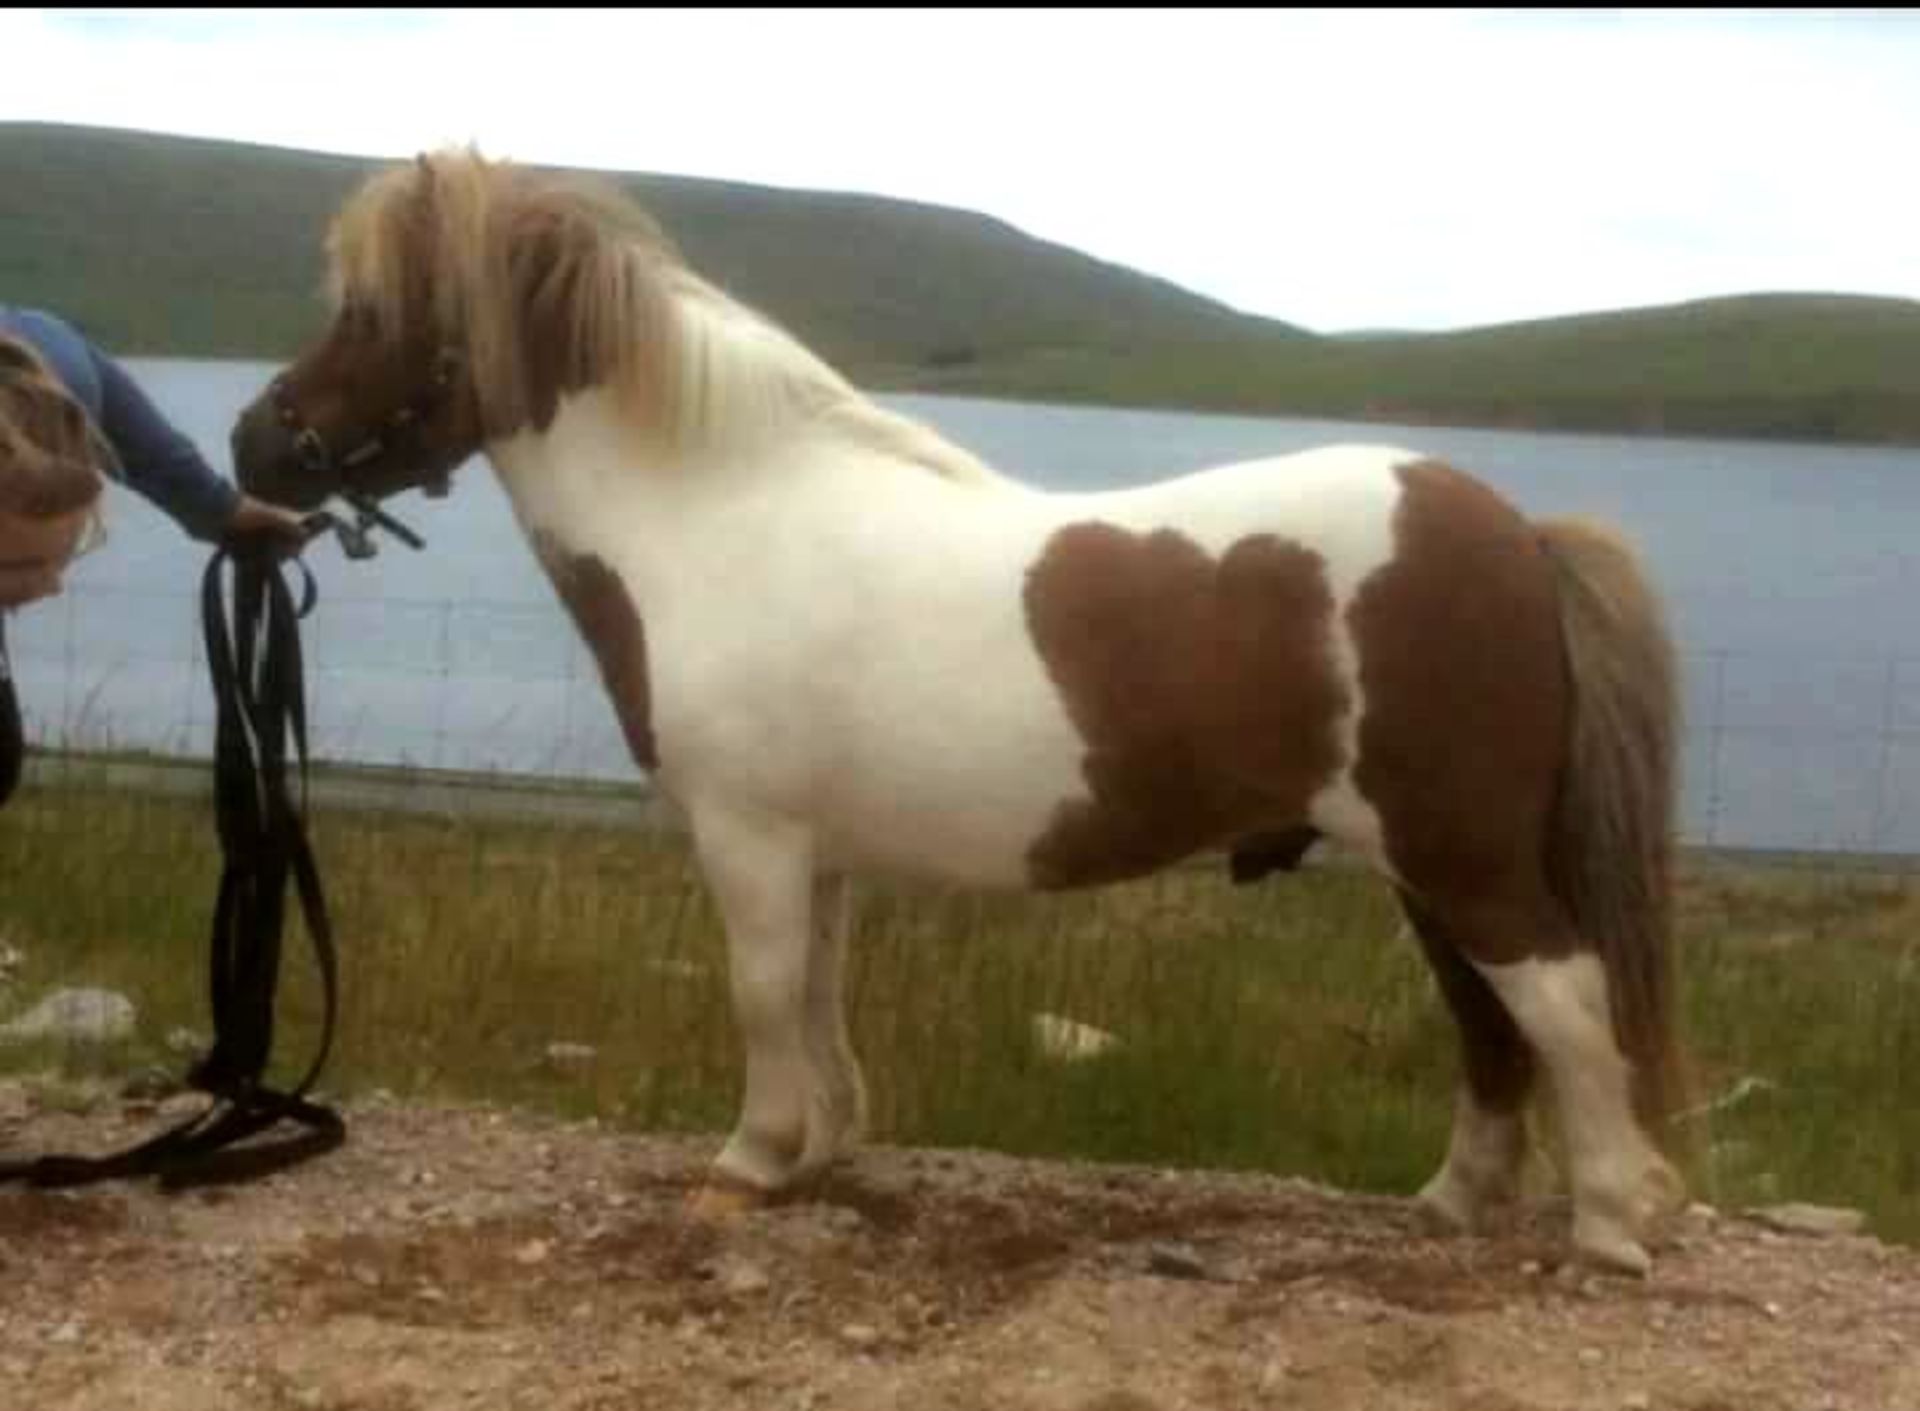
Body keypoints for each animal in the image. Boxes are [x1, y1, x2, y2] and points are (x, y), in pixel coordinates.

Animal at [232, 148, 1689, 1274]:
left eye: (372, 310)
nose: (255, 444)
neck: (722, 521)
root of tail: (1513, 531)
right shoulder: (810, 850)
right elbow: (814, 992)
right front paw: (820, 1149)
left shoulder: (747, 836)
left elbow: (761, 990)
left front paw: (750, 1161)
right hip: (1427, 864)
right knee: (1489, 1019)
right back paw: (1455, 1201)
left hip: (1458, 850)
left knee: (1561, 1001)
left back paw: (1609, 1228)